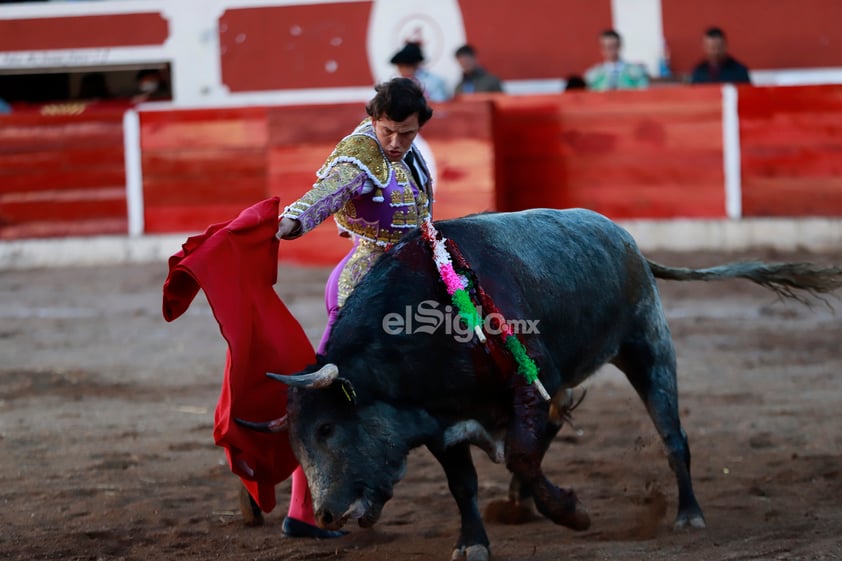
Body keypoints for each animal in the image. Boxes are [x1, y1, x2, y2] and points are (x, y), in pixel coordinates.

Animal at [236, 208, 840, 556]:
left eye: (328, 430)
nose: (326, 514)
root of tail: (626, 240)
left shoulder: (531, 383)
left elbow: (525, 454)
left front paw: (572, 512)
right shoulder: (437, 419)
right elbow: (465, 482)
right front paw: (474, 542)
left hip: (648, 348)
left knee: (673, 437)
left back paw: (688, 515)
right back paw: (517, 500)